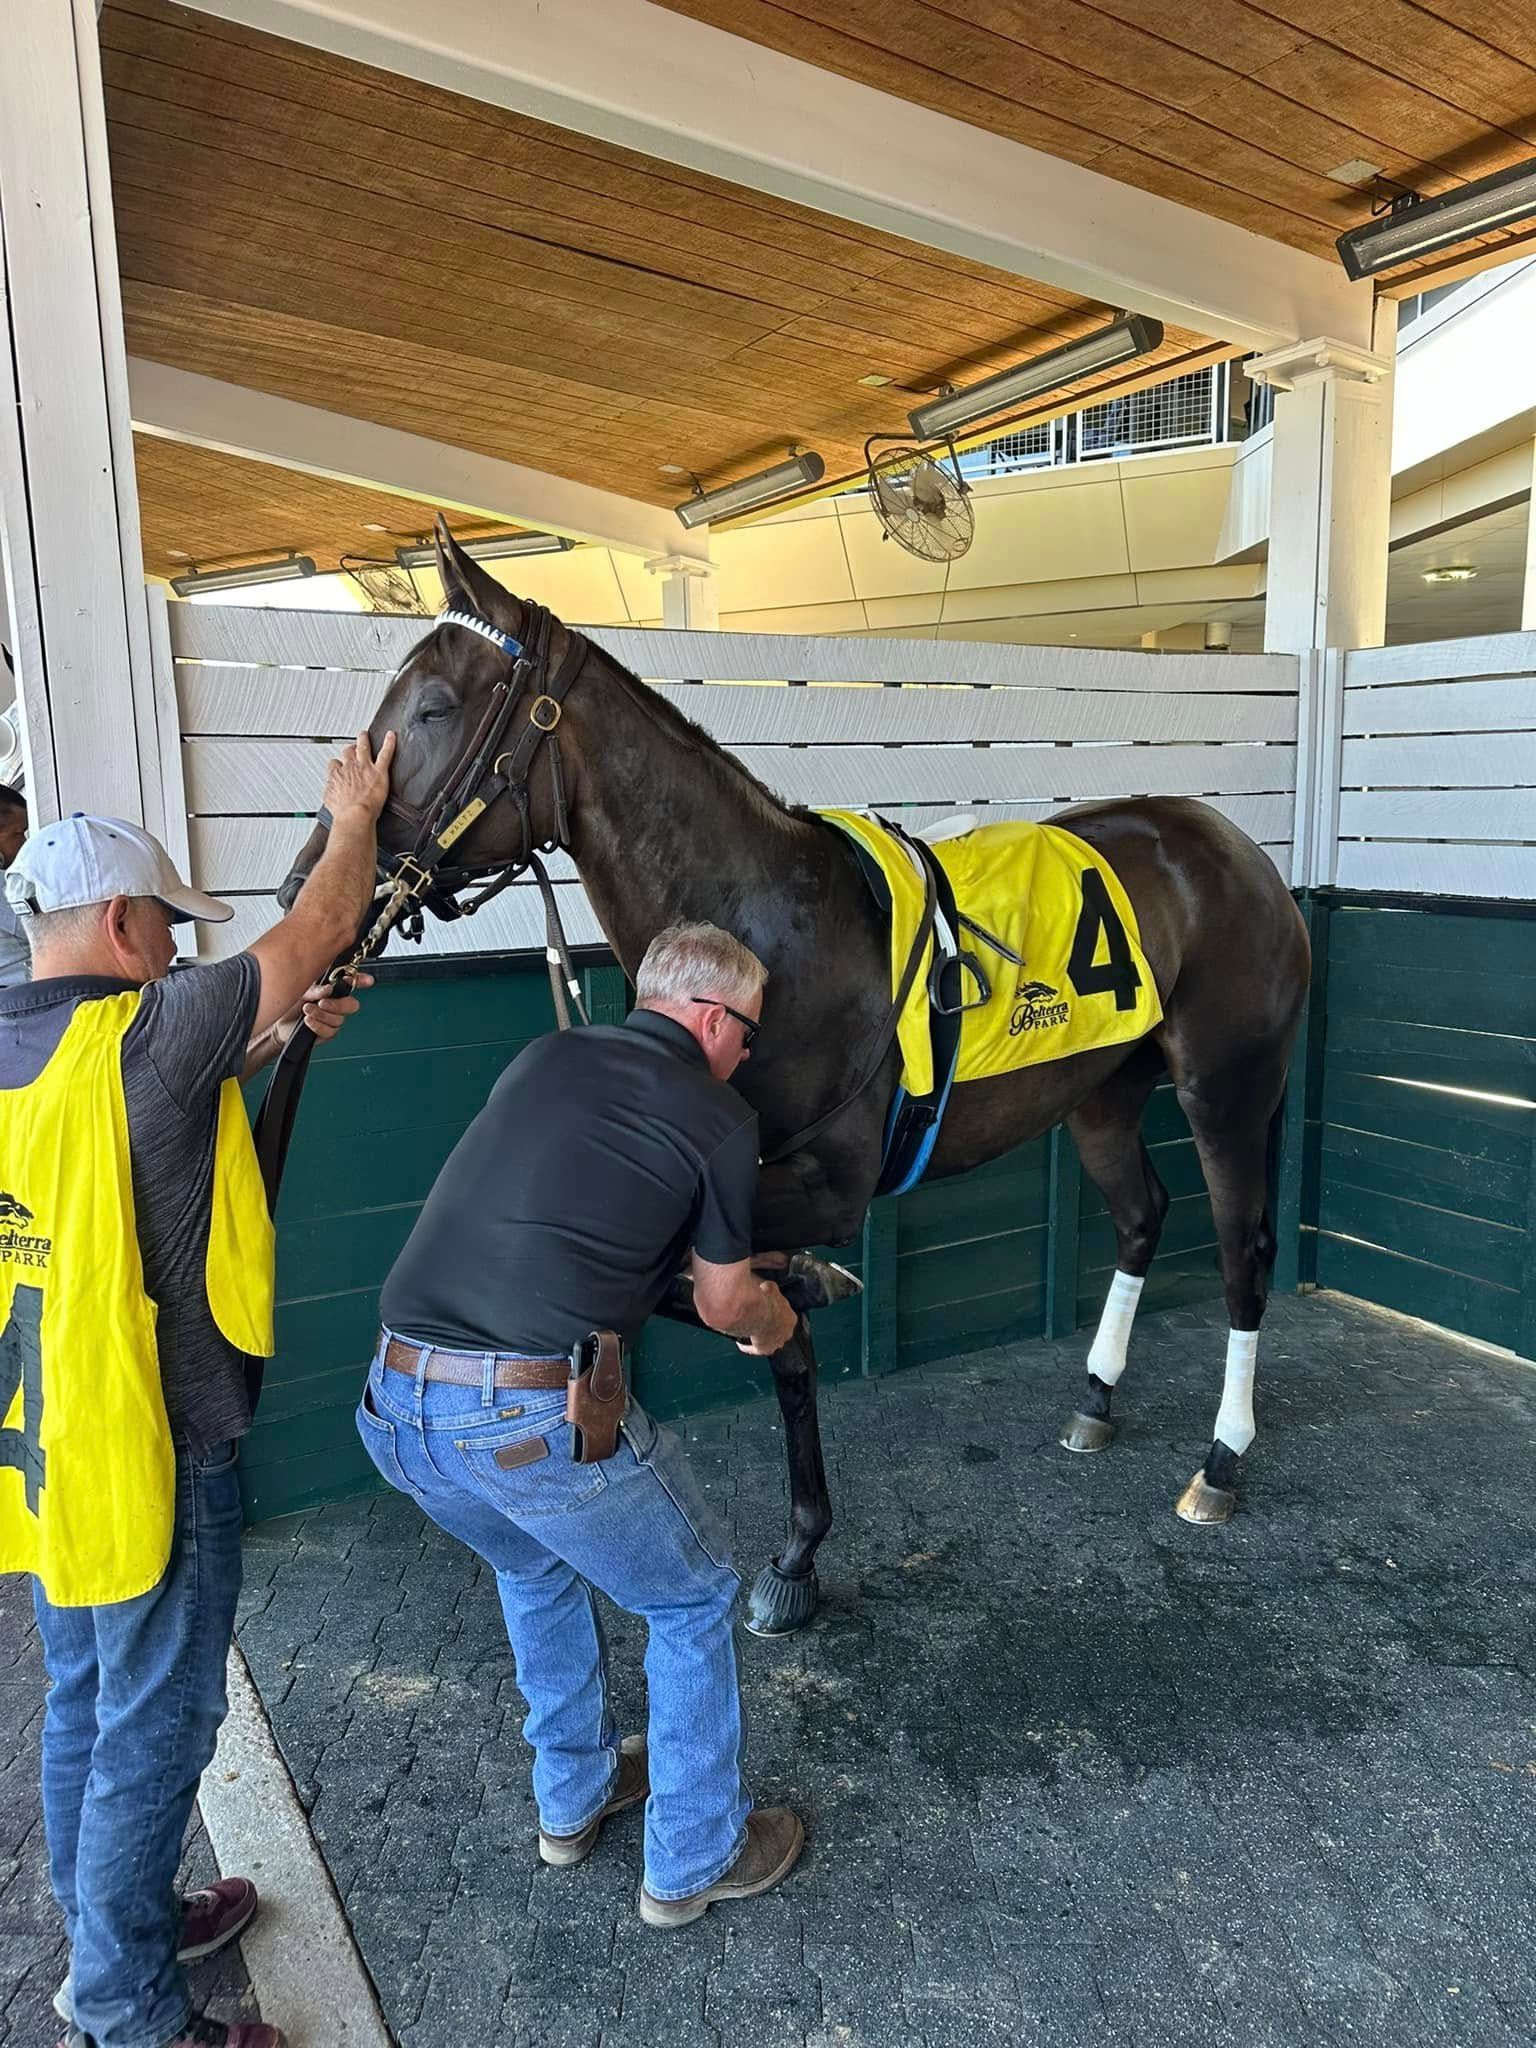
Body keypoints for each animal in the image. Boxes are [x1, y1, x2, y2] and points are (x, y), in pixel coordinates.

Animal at [279, 525, 1310, 1636]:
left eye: (432, 707)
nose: (303, 888)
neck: (770, 923)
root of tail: (1237, 848)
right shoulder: (745, 1185)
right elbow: (756, 1330)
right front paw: (800, 1539)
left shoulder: (823, 1181)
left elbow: (707, 1291)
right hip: (1102, 1092)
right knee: (1140, 1214)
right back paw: (1095, 1400)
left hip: (1226, 1085)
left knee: (1244, 1248)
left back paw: (1221, 1461)